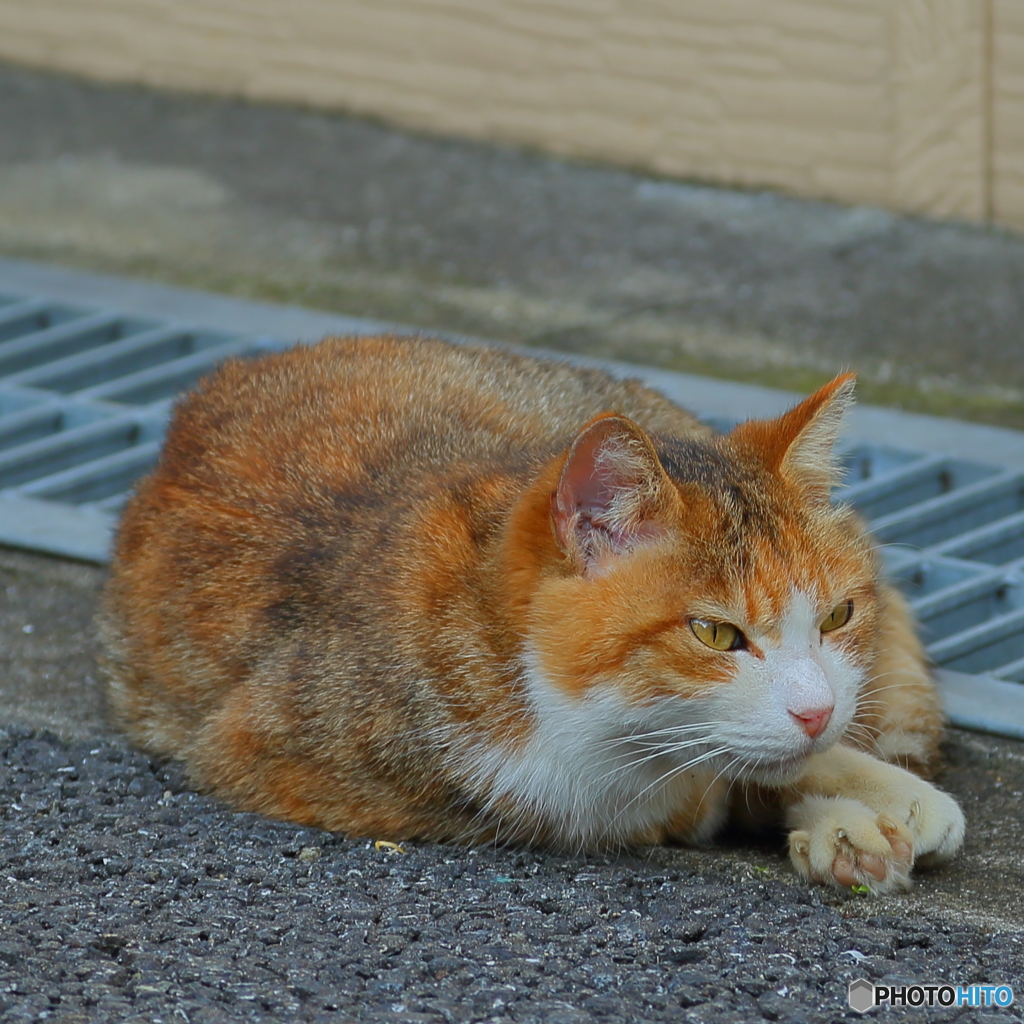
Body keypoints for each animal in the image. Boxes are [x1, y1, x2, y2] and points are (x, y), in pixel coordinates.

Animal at [99, 333, 962, 888]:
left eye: (837, 617)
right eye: (716, 633)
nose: (816, 712)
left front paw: (857, 794)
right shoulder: (268, 755)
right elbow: (722, 781)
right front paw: (833, 808)